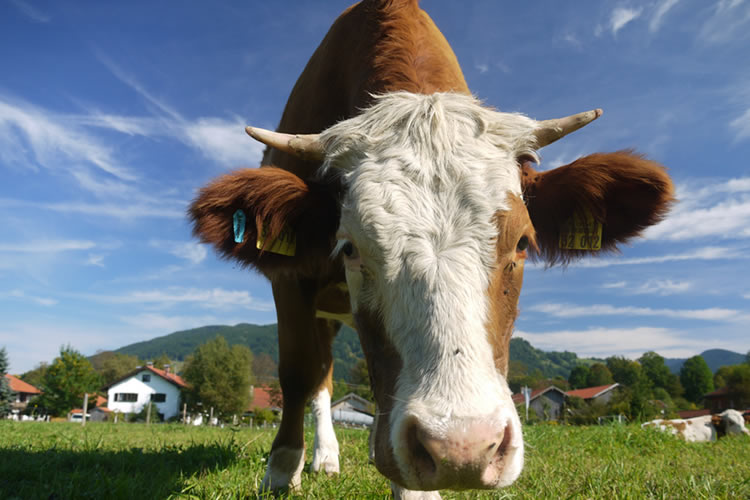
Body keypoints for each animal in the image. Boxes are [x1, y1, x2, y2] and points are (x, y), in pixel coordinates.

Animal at [188, 0, 676, 496]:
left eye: (523, 241)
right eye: (348, 247)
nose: (462, 449)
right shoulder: (288, 279)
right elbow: (296, 371)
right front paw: (281, 471)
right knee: (319, 373)